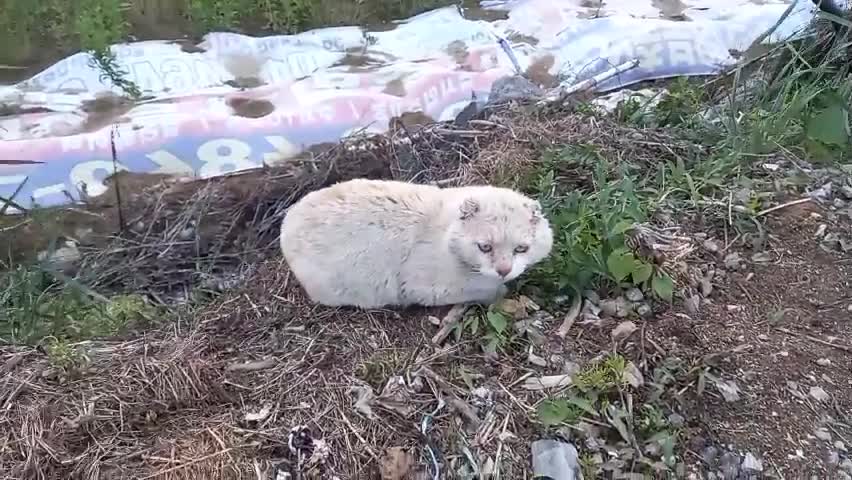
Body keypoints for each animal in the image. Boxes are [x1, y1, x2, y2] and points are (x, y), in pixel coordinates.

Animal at [282, 179, 552, 308]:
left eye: (521, 249)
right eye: (484, 247)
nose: (504, 270)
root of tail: (287, 221)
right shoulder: (423, 288)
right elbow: (490, 290)